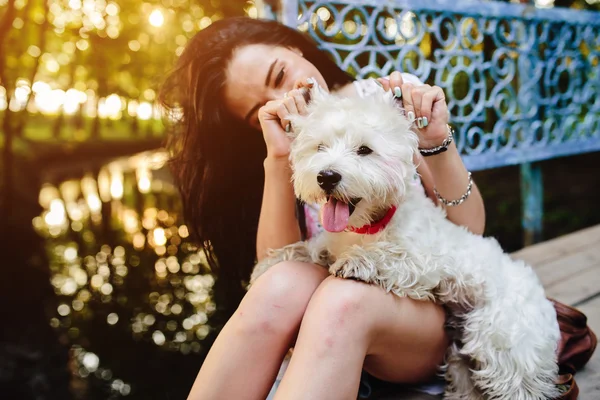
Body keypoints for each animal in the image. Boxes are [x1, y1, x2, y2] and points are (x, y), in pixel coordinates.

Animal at [251, 83, 560, 398]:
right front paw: (270, 262)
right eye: (320, 147)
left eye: (364, 150)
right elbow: (311, 248)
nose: (326, 176)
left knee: (516, 382)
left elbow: (391, 256)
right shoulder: (332, 243)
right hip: (460, 357)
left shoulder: (427, 262)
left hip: (501, 342)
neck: (368, 226)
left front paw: (356, 263)